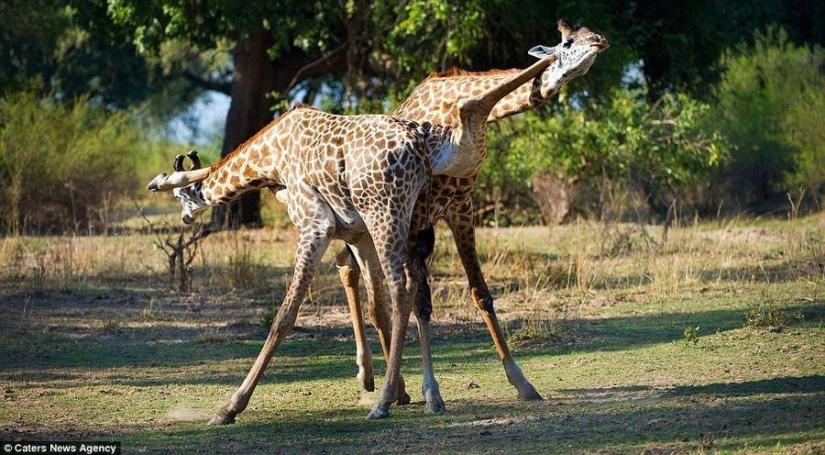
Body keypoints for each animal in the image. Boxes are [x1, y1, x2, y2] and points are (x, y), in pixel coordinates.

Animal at [146, 53, 561, 423]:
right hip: (390, 223)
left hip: (386, 215)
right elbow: (375, 304)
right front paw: (402, 388)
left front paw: (230, 406)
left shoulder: (315, 225)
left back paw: (385, 399)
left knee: (402, 286)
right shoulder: (358, 233)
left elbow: (285, 315)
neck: (270, 154)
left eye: (179, 197)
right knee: (397, 288)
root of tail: (420, 147)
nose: (184, 216)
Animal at [334, 20, 608, 413]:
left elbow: (480, 293)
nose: (600, 41)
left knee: (355, 274)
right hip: (372, 225)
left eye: (590, 33)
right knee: (367, 288)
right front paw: (431, 393)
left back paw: (387, 383)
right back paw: (380, 382)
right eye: (568, 42)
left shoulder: (460, 206)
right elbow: (420, 301)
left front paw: (522, 382)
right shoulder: (419, 217)